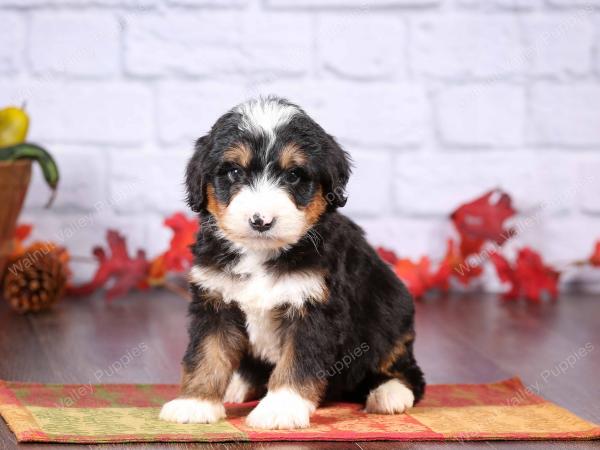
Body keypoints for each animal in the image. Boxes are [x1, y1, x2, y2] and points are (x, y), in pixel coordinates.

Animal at [159, 96, 426, 428]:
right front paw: (195, 403)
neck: (260, 254)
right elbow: (207, 354)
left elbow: (296, 362)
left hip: (392, 318)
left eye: (293, 175)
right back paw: (238, 386)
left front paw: (280, 409)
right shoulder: (215, 300)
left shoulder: (313, 308)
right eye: (234, 172)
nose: (261, 220)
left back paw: (389, 394)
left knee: (404, 370)